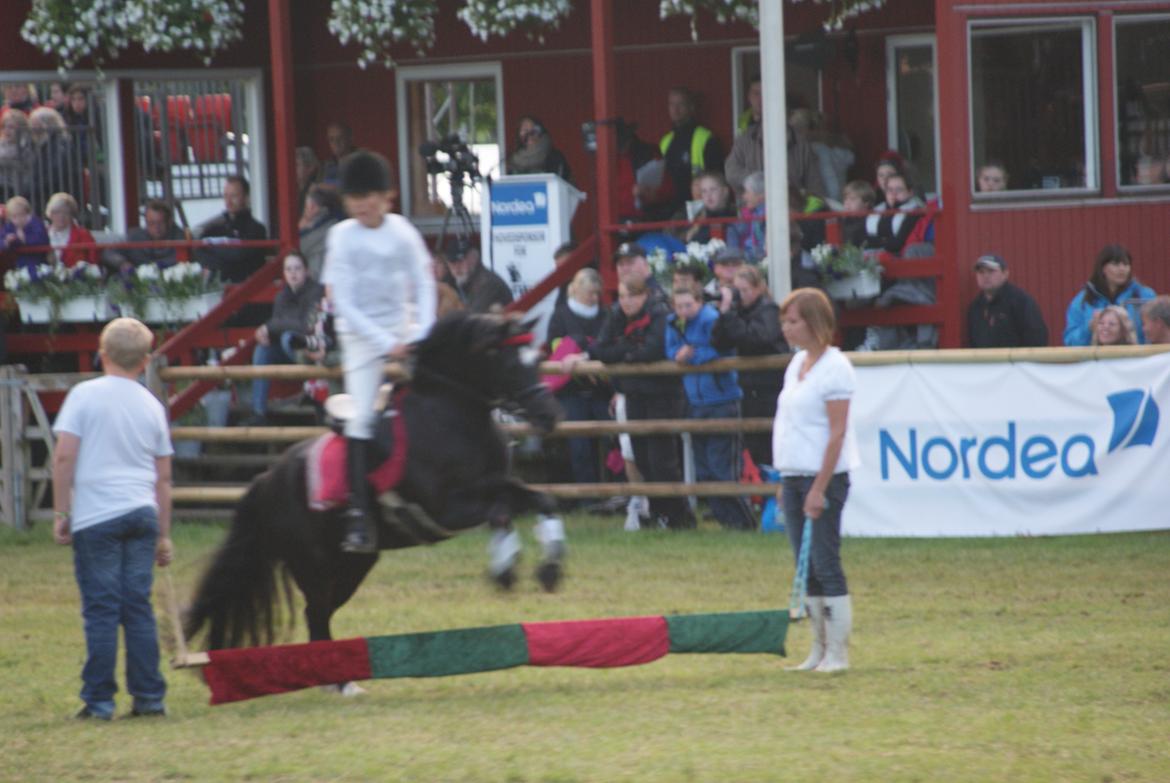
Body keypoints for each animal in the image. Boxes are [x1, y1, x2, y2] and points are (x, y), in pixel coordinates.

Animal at [183, 313, 566, 655]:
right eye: (507, 362)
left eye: (536, 359)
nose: (549, 416)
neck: (451, 414)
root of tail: (267, 477)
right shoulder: (447, 510)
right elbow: (500, 512)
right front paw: (505, 569)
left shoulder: (499, 483)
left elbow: (542, 501)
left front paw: (548, 569)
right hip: (312, 563)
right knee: (316, 614)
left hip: (353, 565)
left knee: (322, 614)